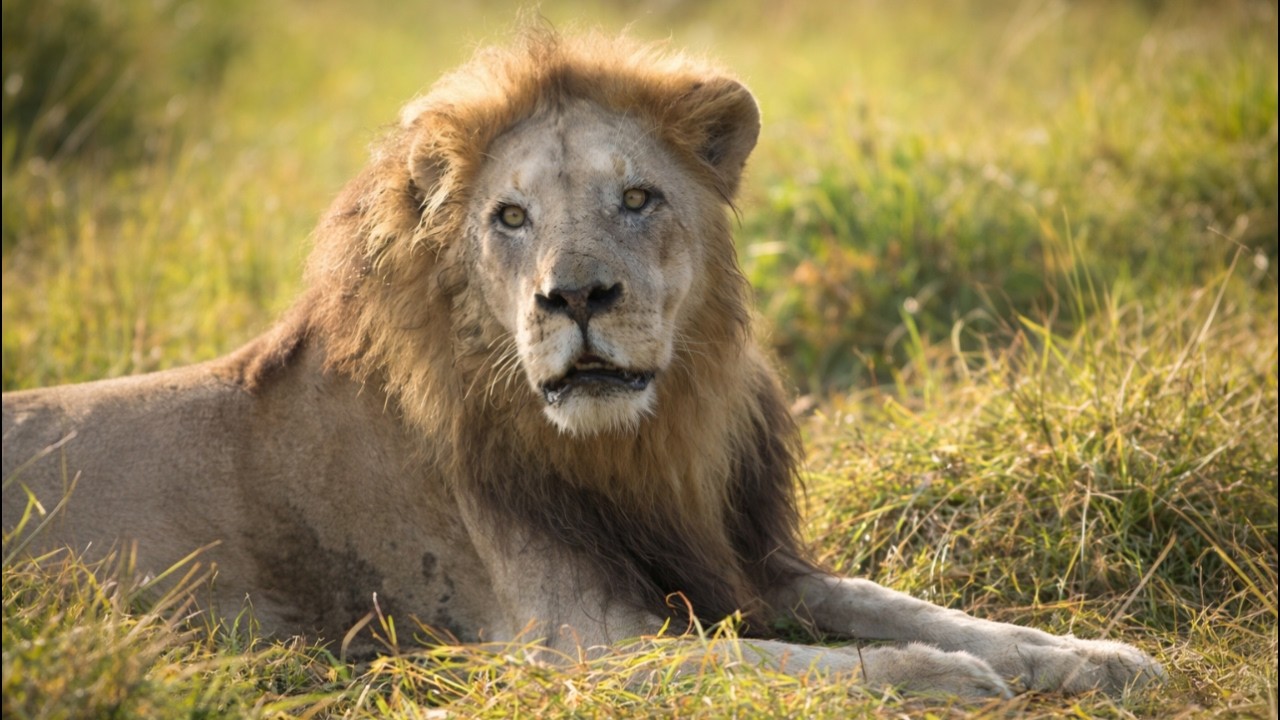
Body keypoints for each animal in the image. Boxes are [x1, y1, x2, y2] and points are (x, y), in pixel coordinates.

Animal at [1, 31, 1163, 698]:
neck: (633, 452)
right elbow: (797, 665)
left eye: (637, 197)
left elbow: (901, 604)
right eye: (510, 218)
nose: (576, 298)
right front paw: (947, 680)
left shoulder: (737, 557)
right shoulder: (571, 645)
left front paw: (1089, 658)